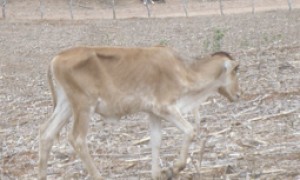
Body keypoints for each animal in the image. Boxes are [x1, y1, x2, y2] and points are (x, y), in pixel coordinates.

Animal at [38, 46, 240, 179]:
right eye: (235, 70)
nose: (238, 94)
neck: (183, 71)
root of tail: (56, 58)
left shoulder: (153, 113)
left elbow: (156, 141)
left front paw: (158, 173)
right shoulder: (165, 108)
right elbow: (190, 130)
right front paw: (174, 169)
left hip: (66, 105)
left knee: (47, 134)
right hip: (83, 106)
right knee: (77, 139)